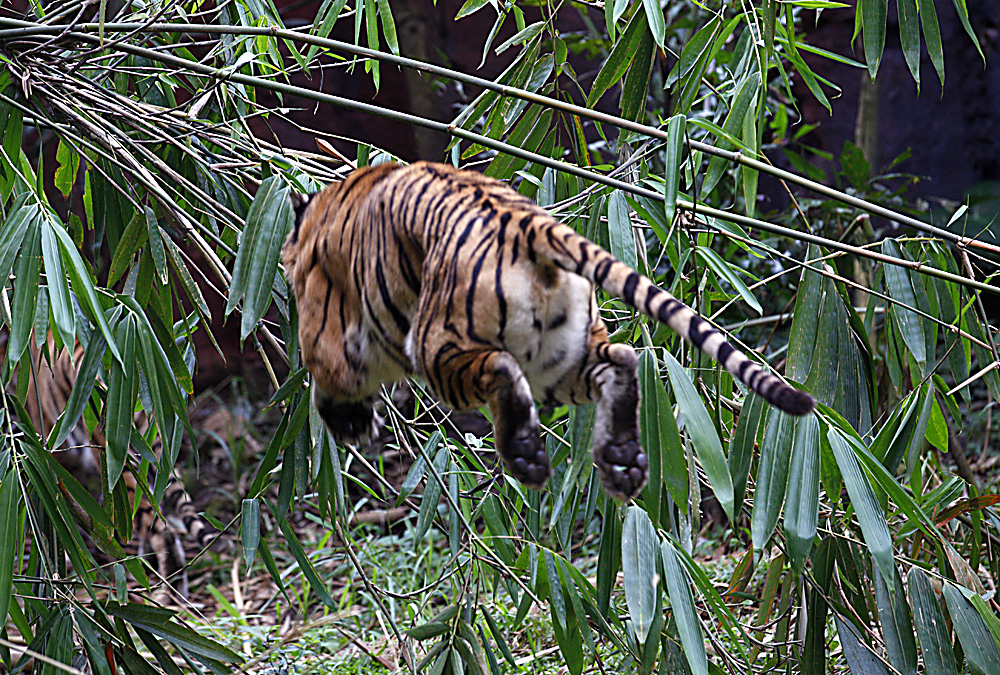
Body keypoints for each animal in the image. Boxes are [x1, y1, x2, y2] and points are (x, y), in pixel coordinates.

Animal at [282, 162, 812, 502]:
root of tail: (527, 221)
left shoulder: (327, 329)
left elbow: (329, 375)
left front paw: (349, 422)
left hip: (437, 344)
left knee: (498, 369)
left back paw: (525, 457)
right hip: (559, 359)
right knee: (621, 360)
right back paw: (622, 461)